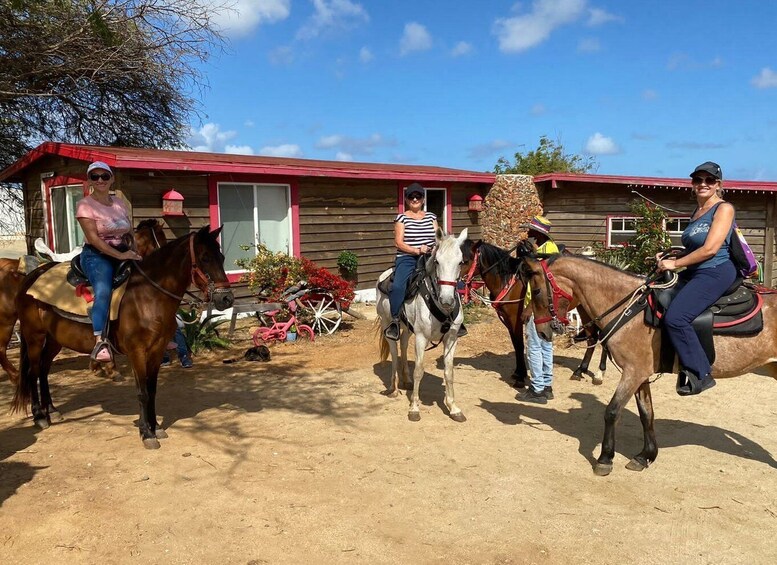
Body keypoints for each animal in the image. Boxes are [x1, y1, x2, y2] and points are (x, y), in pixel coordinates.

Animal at [0, 218, 167, 382]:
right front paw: (109, 369)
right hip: (7, 321)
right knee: (2, 349)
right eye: (162, 240)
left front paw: (97, 366)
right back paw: (14, 376)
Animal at [12, 223, 230, 448]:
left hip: (54, 339)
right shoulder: (137, 352)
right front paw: (147, 433)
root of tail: (30, 277)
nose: (226, 299)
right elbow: (142, 392)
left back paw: (52, 411)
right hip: (34, 336)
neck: (147, 296)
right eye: (205, 257)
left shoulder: (156, 351)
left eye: (221, 257)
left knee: (43, 370)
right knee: (33, 372)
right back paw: (39, 416)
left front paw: (155, 427)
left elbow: (152, 390)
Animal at [376, 227, 466, 420]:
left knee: (403, 344)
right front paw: (414, 408)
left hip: (408, 328)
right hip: (387, 324)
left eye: (461, 262)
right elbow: (419, 370)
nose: (447, 300)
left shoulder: (451, 338)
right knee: (394, 353)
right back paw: (393, 388)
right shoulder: (421, 337)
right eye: (437, 261)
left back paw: (406, 381)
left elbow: (449, 372)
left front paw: (453, 407)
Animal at [520, 256, 776, 476]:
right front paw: (645, 456)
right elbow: (647, 414)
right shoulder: (640, 374)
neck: (631, 309)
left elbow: (612, 412)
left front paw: (605, 458)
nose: (542, 332)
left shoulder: (632, 373)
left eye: (538, 291)